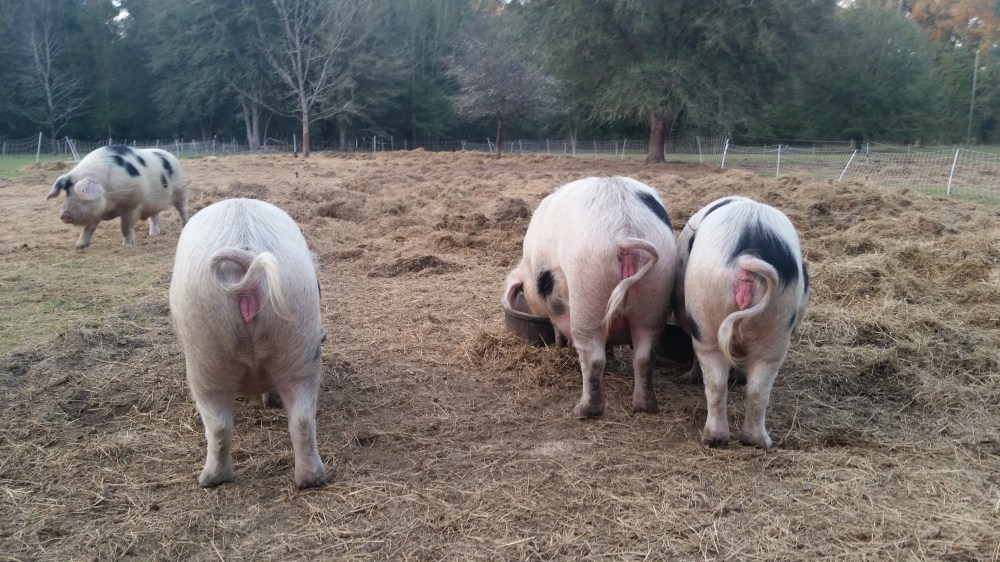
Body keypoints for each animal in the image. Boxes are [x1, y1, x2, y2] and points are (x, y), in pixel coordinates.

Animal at [46, 145, 189, 250]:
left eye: (81, 194)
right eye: (67, 193)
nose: (64, 215)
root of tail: (169, 154)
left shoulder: (133, 204)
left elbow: (125, 227)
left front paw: (127, 245)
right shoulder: (95, 211)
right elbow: (88, 228)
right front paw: (79, 246)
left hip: (180, 189)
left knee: (182, 210)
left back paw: (184, 226)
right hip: (153, 202)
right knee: (154, 216)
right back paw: (153, 235)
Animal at [169, 198, 327, 488]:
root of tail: (247, 259)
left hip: (203, 359)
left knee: (217, 424)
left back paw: (208, 480)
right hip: (299, 344)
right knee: (301, 419)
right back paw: (310, 480)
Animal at [502, 177, 677, 418]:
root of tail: (624, 232)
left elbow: (557, 326)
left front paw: (560, 345)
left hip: (587, 286)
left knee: (593, 358)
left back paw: (583, 410)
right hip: (657, 289)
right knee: (645, 355)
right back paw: (645, 406)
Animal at [673, 196, 809, 448]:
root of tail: (748, 256)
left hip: (713, 314)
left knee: (731, 385)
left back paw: (737, 440)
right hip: (768, 326)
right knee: (747, 386)